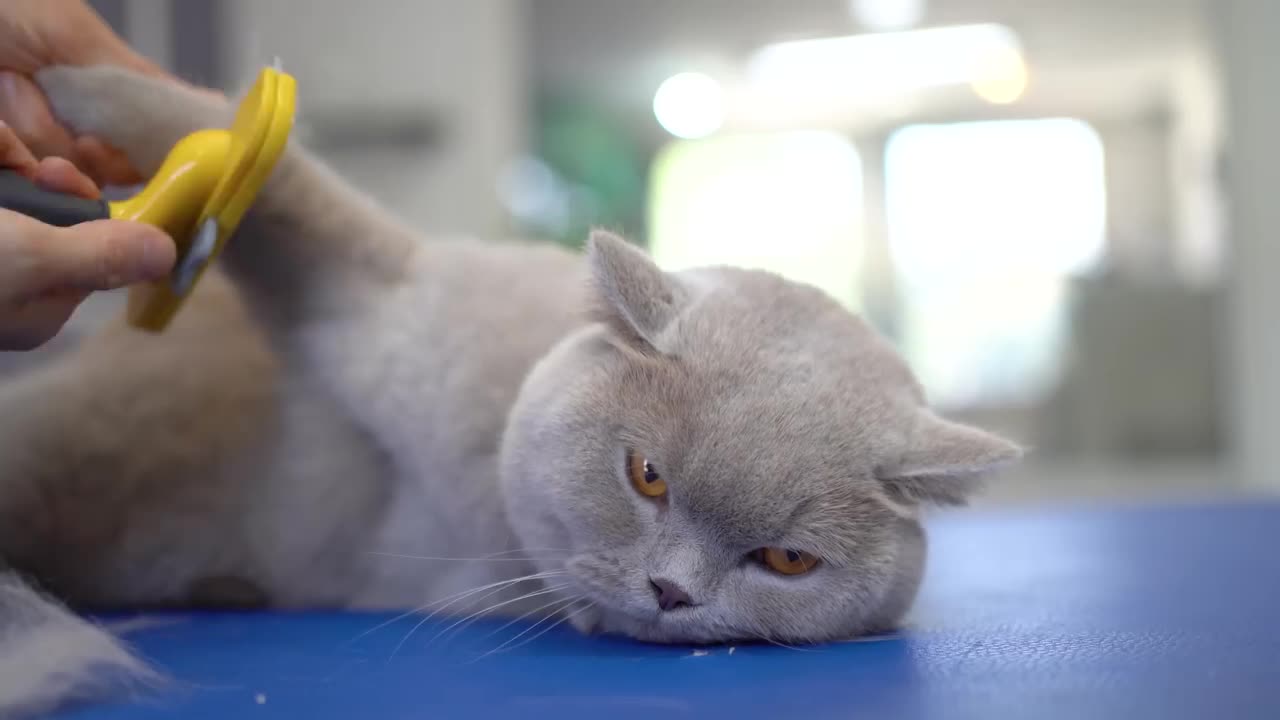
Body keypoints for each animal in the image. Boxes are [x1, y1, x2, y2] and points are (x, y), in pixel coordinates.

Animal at [0, 64, 1018, 712]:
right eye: (647, 476)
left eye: (788, 561)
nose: (671, 591)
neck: (480, 536)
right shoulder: (381, 293)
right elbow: (284, 180)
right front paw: (76, 86)